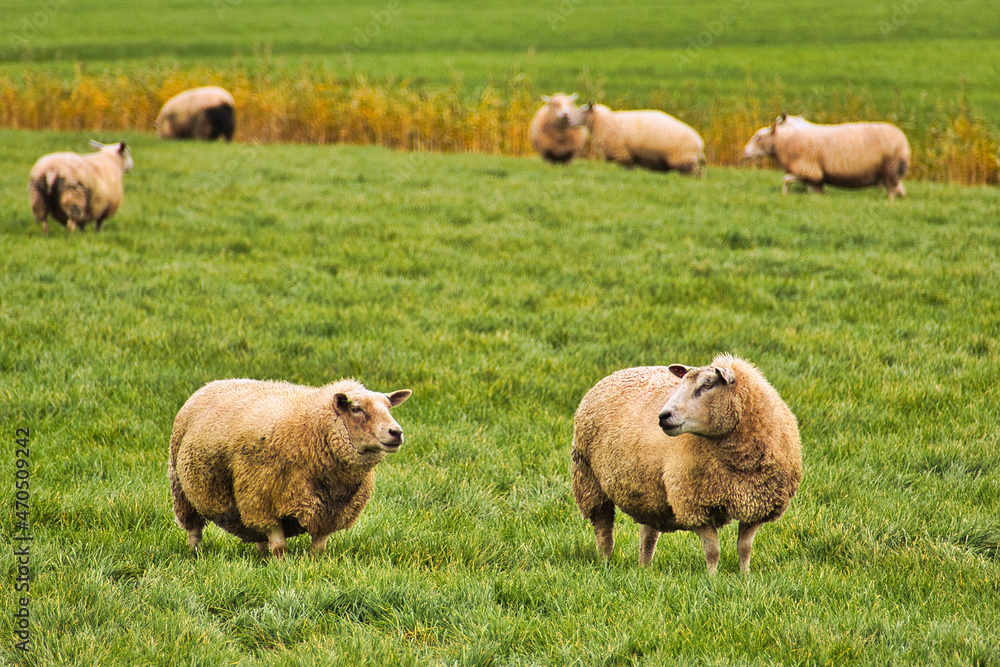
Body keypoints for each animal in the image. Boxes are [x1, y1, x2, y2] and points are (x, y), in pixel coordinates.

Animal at [169, 378, 412, 558]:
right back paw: (196, 555)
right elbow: (280, 547)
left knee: (258, 538)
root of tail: (212, 383)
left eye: (389, 407)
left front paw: (315, 564)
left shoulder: (329, 512)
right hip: (182, 489)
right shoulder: (262, 501)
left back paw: (260, 555)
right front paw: (282, 566)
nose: (396, 432)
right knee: (194, 530)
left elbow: (319, 549)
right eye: (356, 408)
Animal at [572, 354, 801, 575]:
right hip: (589, 480)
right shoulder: (694, 504)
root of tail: (618, 373)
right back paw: (605, 563)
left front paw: (745, 577)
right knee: (603, 529)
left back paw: (644, 569)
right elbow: (713, 550)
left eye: (707, 385)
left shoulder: (758, 504)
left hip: (649, 490)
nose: (663, 416)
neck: (740, 463)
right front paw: (712, 579)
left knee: (648, 535)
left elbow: (744, 548)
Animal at [574, 101, 705, 175]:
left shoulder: (623, 154)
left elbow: (629, 169)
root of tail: (700, 145)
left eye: (582, 110)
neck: (603, 122)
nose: (569, 120)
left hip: (684, 160)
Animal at [741, 113, 911, 199]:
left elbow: (786, 179)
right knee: (899, 189)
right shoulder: (815, 177)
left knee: (892, 191)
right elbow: (815, 192)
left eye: (759, 138)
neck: (787, 140)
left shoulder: (810, 171)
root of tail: (905, 141)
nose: (744, 152)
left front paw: (784, 195)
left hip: (890, 169)